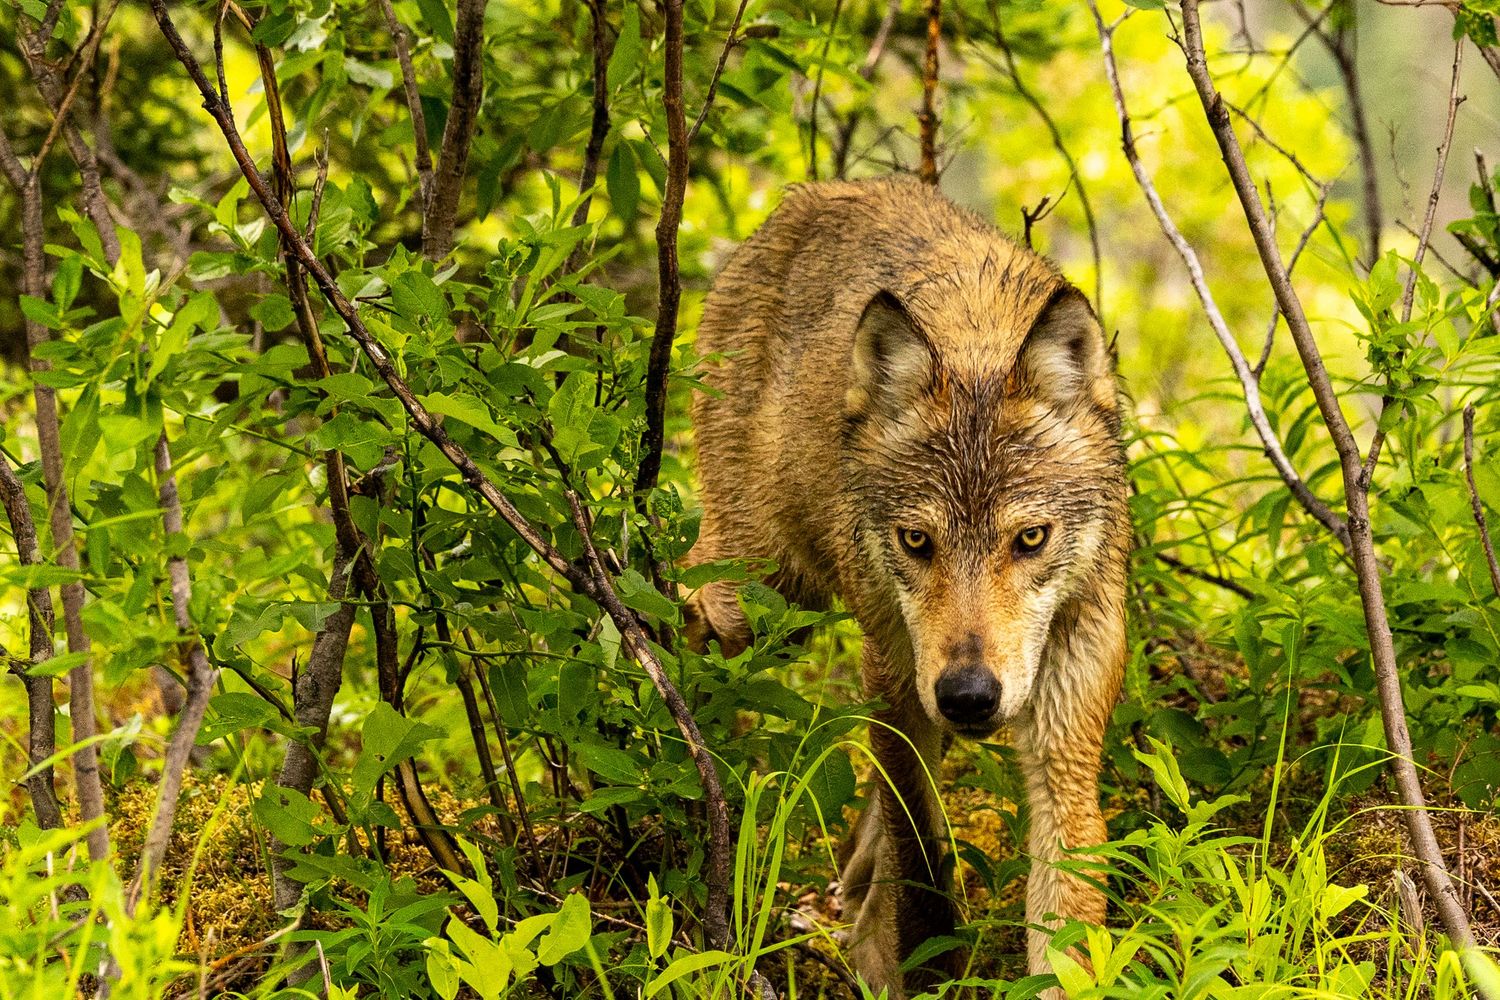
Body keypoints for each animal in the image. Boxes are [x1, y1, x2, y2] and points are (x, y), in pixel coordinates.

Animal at [684, 177, 1130, 997]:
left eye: (1030, 539)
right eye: (917, 542)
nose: (969, 695)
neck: (978, 337)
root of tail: (807, 196)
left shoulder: (1064, 732)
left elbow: (1066, 922)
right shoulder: (894, 679)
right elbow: (920, 854)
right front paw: (926, 966)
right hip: (765, 598)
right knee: (680, 595)